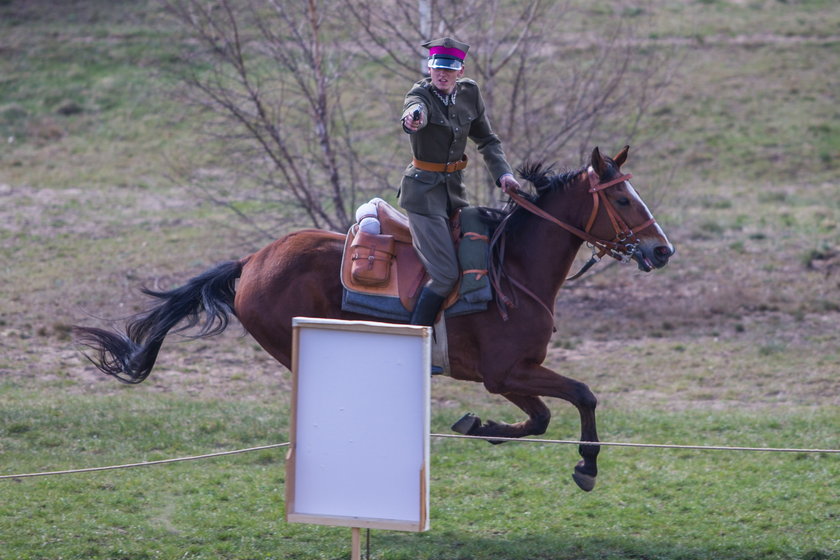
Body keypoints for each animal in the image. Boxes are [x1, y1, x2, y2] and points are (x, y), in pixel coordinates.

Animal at [74, 144, 676, 490]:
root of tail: (252, 260)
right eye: (623, 199)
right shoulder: (506, 373)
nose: (662, 250)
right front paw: (587, 466)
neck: (513, 267)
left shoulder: (509, 378)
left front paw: (480, 427)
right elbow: (581, 396)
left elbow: (542, 418)